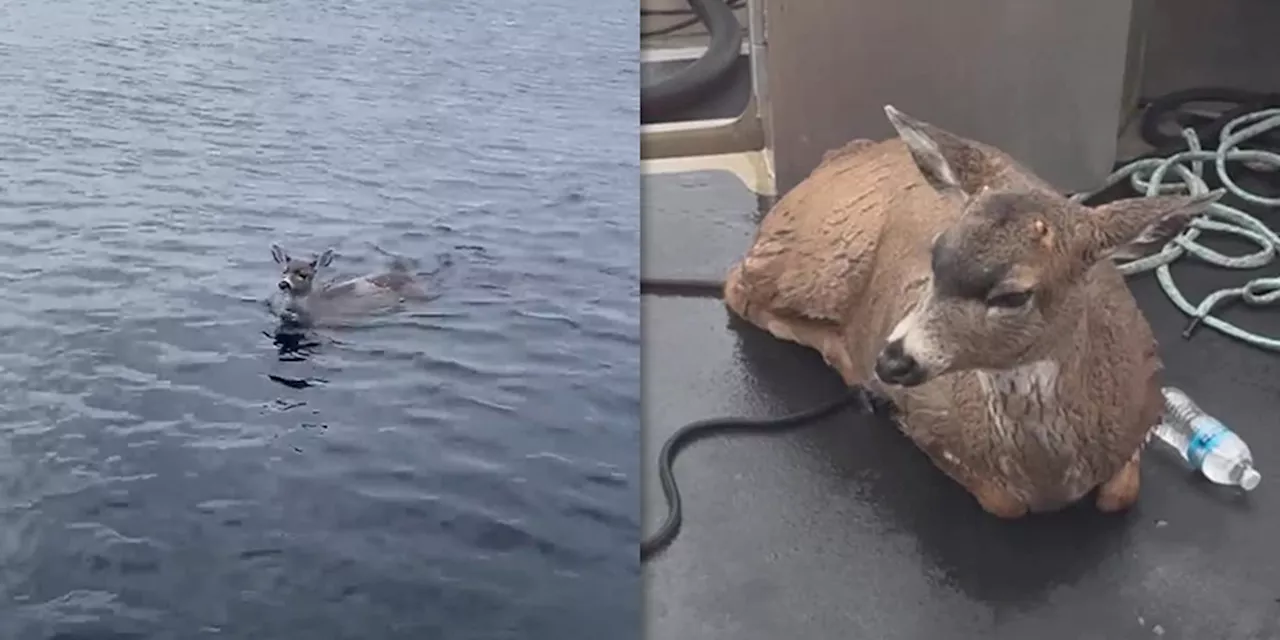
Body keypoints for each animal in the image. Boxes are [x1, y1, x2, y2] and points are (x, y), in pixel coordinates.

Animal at [721, 103, 1218, 514]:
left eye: (1013, 295)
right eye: (936, 253)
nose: (892, 361)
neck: (1051, 477)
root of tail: (841, 155)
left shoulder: (1146, 402)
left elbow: (1120, 494)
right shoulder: (933, 422)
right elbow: (1003, 503)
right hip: (811, 258)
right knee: (737, 286)